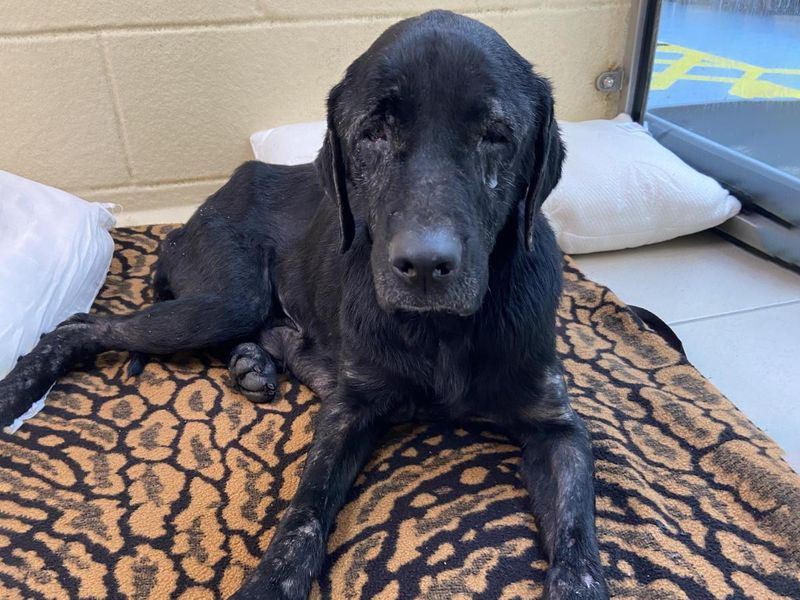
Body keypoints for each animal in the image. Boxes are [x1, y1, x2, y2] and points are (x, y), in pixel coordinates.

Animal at [1, 10, 608, 600]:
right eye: (372, 133)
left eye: (496, 135)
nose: (423, 265)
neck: (441, 334)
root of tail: (202, 207)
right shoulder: (348, 409)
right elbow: (304, 510)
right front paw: (271, 580)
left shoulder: (558, 427)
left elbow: (578, 539)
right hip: (228, 297)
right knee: (80, 325)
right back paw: (16, 392)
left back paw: (252, 363)